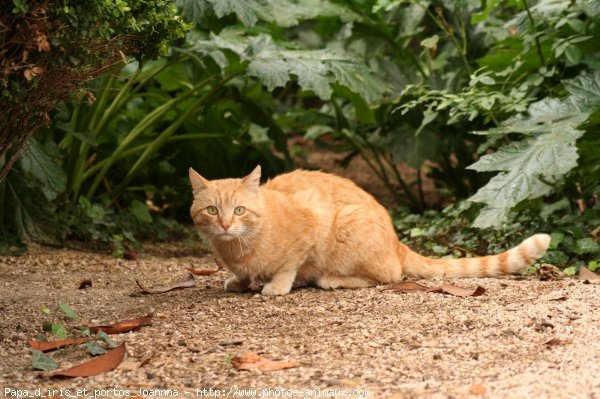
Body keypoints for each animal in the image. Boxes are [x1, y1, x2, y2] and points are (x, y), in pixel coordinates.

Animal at [190, 164, 552, 296]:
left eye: (239, 210)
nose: (225, 225)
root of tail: (397, 241)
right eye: (212, 210)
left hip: (350, 225)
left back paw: (330, 280)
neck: (238, 248)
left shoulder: (311, 225)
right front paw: (239, 281)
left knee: (388, 276)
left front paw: (276, 286)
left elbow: (288, 266)